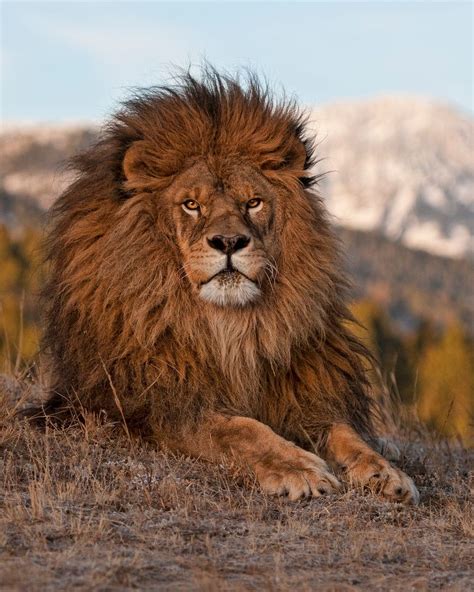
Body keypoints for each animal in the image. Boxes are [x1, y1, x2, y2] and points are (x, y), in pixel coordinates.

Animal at [33, 69, 418, 504]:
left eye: (253, 203)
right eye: (191, 205)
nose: (229, 242)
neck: (230, 328)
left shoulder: (305, 394)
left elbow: (345, 434)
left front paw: (385, 472)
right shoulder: (162, 404)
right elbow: (239, 430)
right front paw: (298, 468)